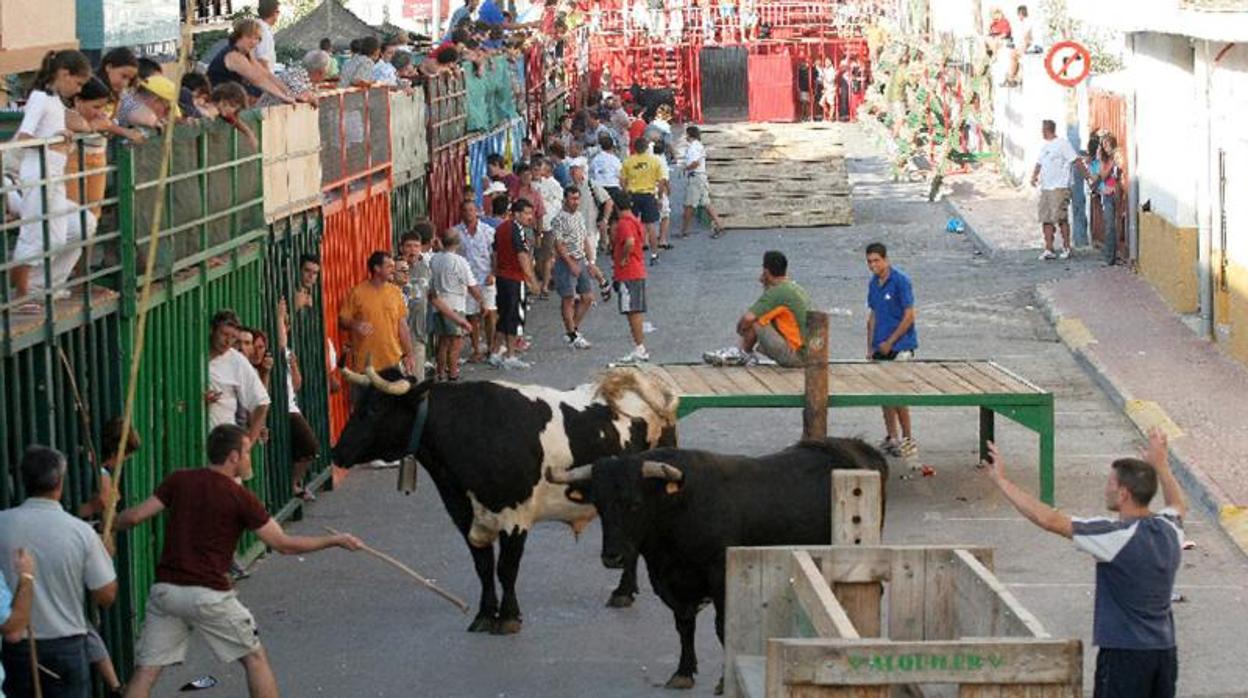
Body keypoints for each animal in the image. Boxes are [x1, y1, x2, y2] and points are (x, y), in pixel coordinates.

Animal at [331, 369, 678, 636]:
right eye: (358, 404)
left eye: (375, 409)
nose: (337, 452)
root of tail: (643, 379)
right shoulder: (464, 516)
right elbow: (483, 568)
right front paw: (485, 614)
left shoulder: (515, 517)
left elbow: (506, 568)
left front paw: (509, 617)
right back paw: (624, 591)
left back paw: (623, 591)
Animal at [546, 439, 888, 689]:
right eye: (599, 504)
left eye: (635, 503)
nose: (612, 557)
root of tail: (855, 448)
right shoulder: (672, 583)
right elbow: (684, 625)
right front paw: (683, 671)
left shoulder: (721, 579)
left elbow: (723, 628)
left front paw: (723, 681)